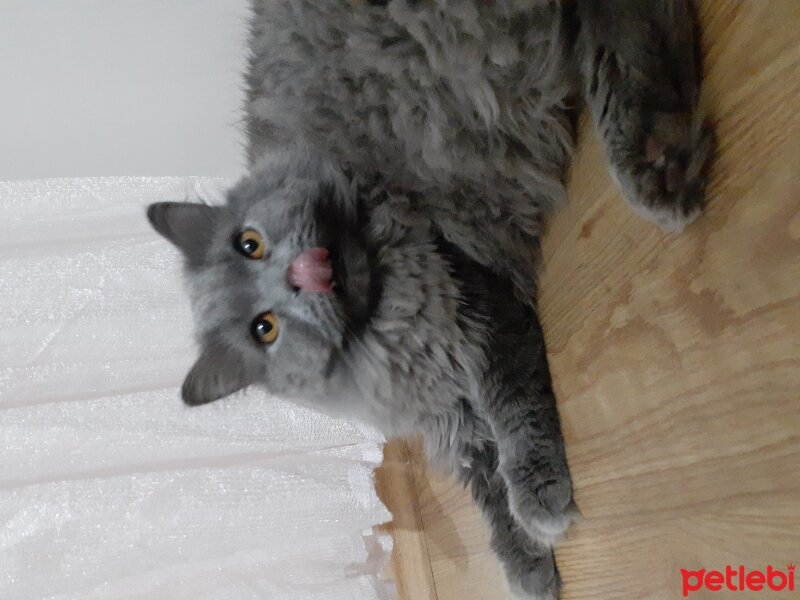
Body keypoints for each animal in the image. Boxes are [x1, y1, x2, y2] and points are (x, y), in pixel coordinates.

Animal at [147, 2, 716, 596]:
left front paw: (539, 499)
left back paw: (658, 172)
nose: (307, 273)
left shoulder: (477, 300)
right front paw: (528, 565)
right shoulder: (452, 417)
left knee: (627, 26)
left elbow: (516, 414)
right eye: (265, 329)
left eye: (250, 244)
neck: (390, 340)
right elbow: (489, 490)